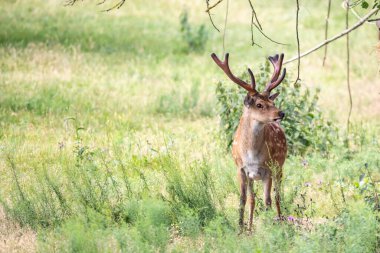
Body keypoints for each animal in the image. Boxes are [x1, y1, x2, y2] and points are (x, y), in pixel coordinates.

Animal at [211, 52, 288, 231]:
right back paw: (251, 225)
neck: (251, 154)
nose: (281, 113)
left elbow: (267, 200)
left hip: (279, 167)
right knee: (254, 199)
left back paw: (280, 220)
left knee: (277, 195)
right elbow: (243, 200)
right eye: (259, 104)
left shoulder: (268, 168)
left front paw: (268, 227)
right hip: (254, 176)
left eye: (272, 102)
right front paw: (241, 227)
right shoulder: (241, 169)